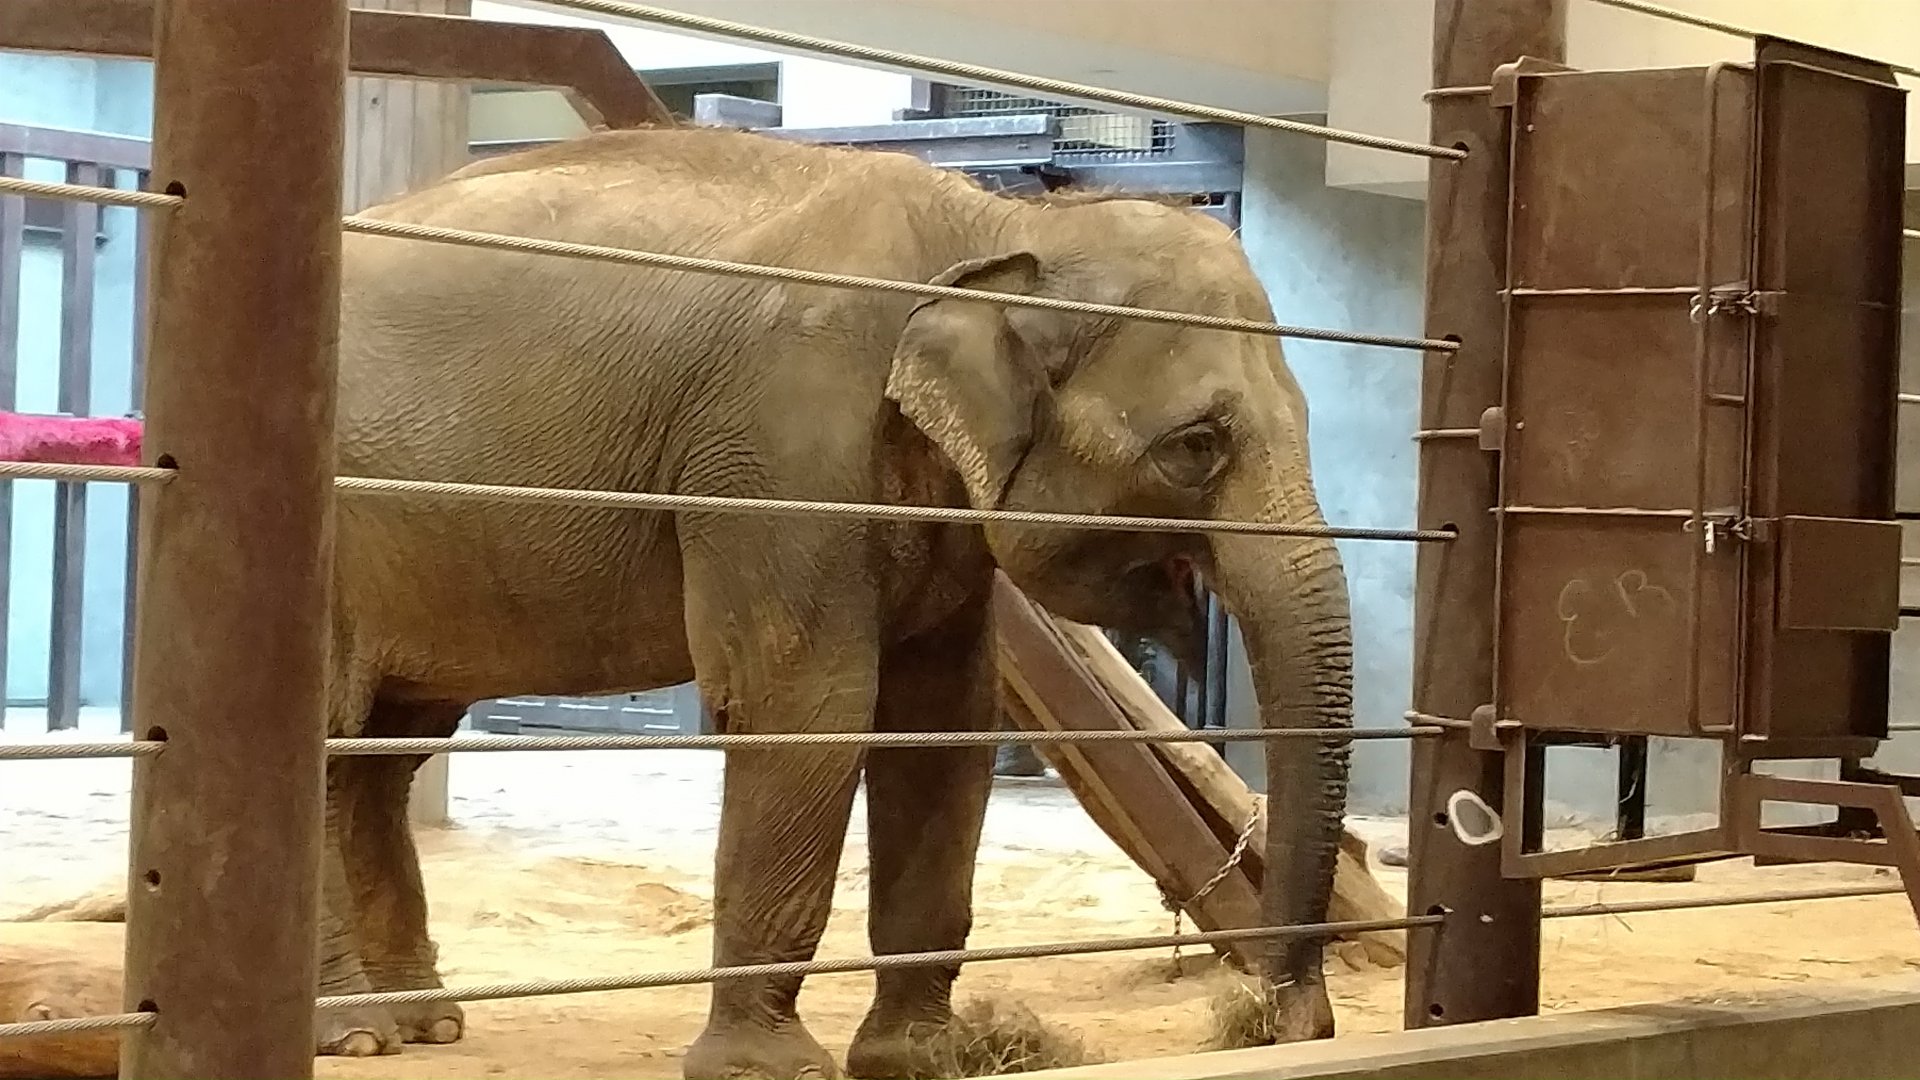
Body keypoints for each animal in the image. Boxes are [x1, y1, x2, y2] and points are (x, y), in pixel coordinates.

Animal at [318, 123, 1355, 1079]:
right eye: (1196, 446)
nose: (1295, 1016)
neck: (1003, 225)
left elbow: (945, 722)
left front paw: (922, 1056)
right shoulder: (782, 449)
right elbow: (808, 706)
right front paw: (765, 1069)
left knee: (383, 757)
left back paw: (421, 1024)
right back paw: (357, 1032)